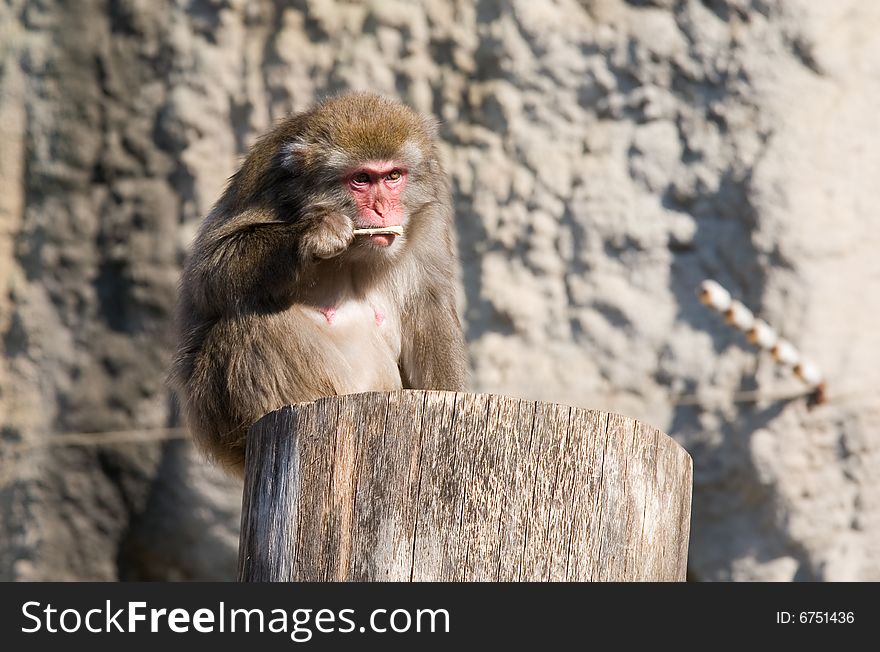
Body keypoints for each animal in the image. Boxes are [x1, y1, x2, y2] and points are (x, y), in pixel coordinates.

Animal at [170, 93, 468, 474]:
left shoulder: (427, 220)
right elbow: (209, 274)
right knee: (245, 327)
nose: (383, 209)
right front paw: (316, 231)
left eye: (393, 176)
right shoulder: (269, 187)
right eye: (362, 179)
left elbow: (429, 308)